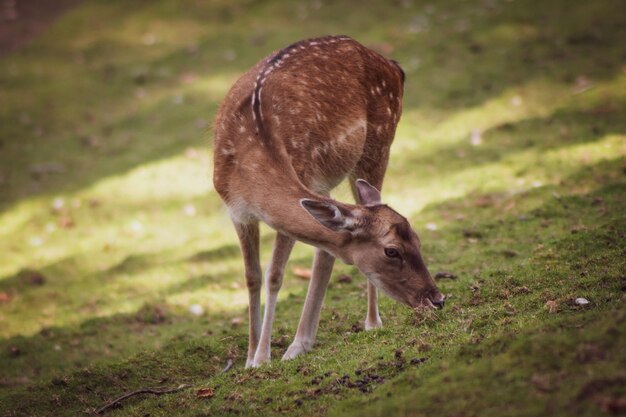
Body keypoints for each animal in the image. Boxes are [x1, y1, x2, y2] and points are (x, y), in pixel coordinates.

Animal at [214, 35, 444, 368]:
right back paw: (301, 343)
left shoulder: (305, 183)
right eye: (392, 251)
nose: (437, 299)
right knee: (325, 248)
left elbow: (274, 276)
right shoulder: (237, 211)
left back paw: (369, 323)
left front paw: (263, 358)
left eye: (418, 240)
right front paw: (250, 358)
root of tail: (393, 65)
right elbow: (253, 277)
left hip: (377, 146)